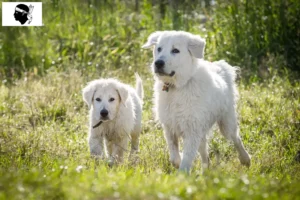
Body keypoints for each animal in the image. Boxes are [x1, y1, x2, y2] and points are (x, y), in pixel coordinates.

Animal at [143, 30, 251, 173]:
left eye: (175, 50)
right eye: (159, 49)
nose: (158, 63)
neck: (177, 88)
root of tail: (220, 69)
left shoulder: (192, 131)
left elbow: (186, 161)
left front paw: (182, 175)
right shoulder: (170, 128)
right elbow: (175, 157)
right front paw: (179, 162)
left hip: (226, 124)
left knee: (236, 138)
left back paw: (245, 159)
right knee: (205, 154)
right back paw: (206, 170)